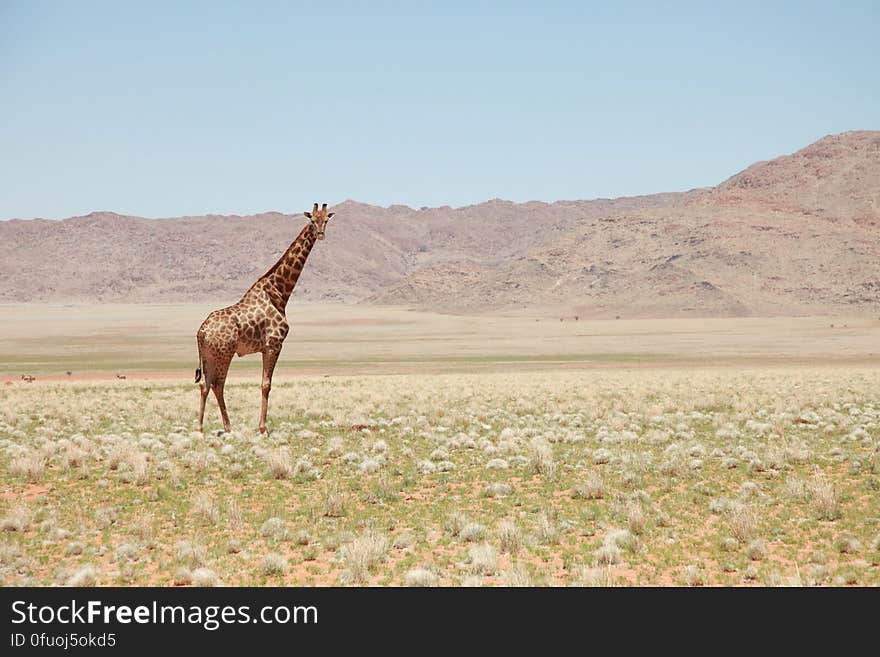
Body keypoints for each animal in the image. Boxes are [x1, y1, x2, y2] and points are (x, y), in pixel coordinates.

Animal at [194, 202, 336, 434]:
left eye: (326, 220)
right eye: (312, 220)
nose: (321, 234)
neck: (279, 292)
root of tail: (201, 331)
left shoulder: (265, 347)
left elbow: (264, 383)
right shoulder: (274, 344)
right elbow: (266, 384)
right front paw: (263, 428)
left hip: (209, 355)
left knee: (205, 385)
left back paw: (205, 427)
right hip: (224, 354)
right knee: (217, 384)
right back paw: (223, 426)